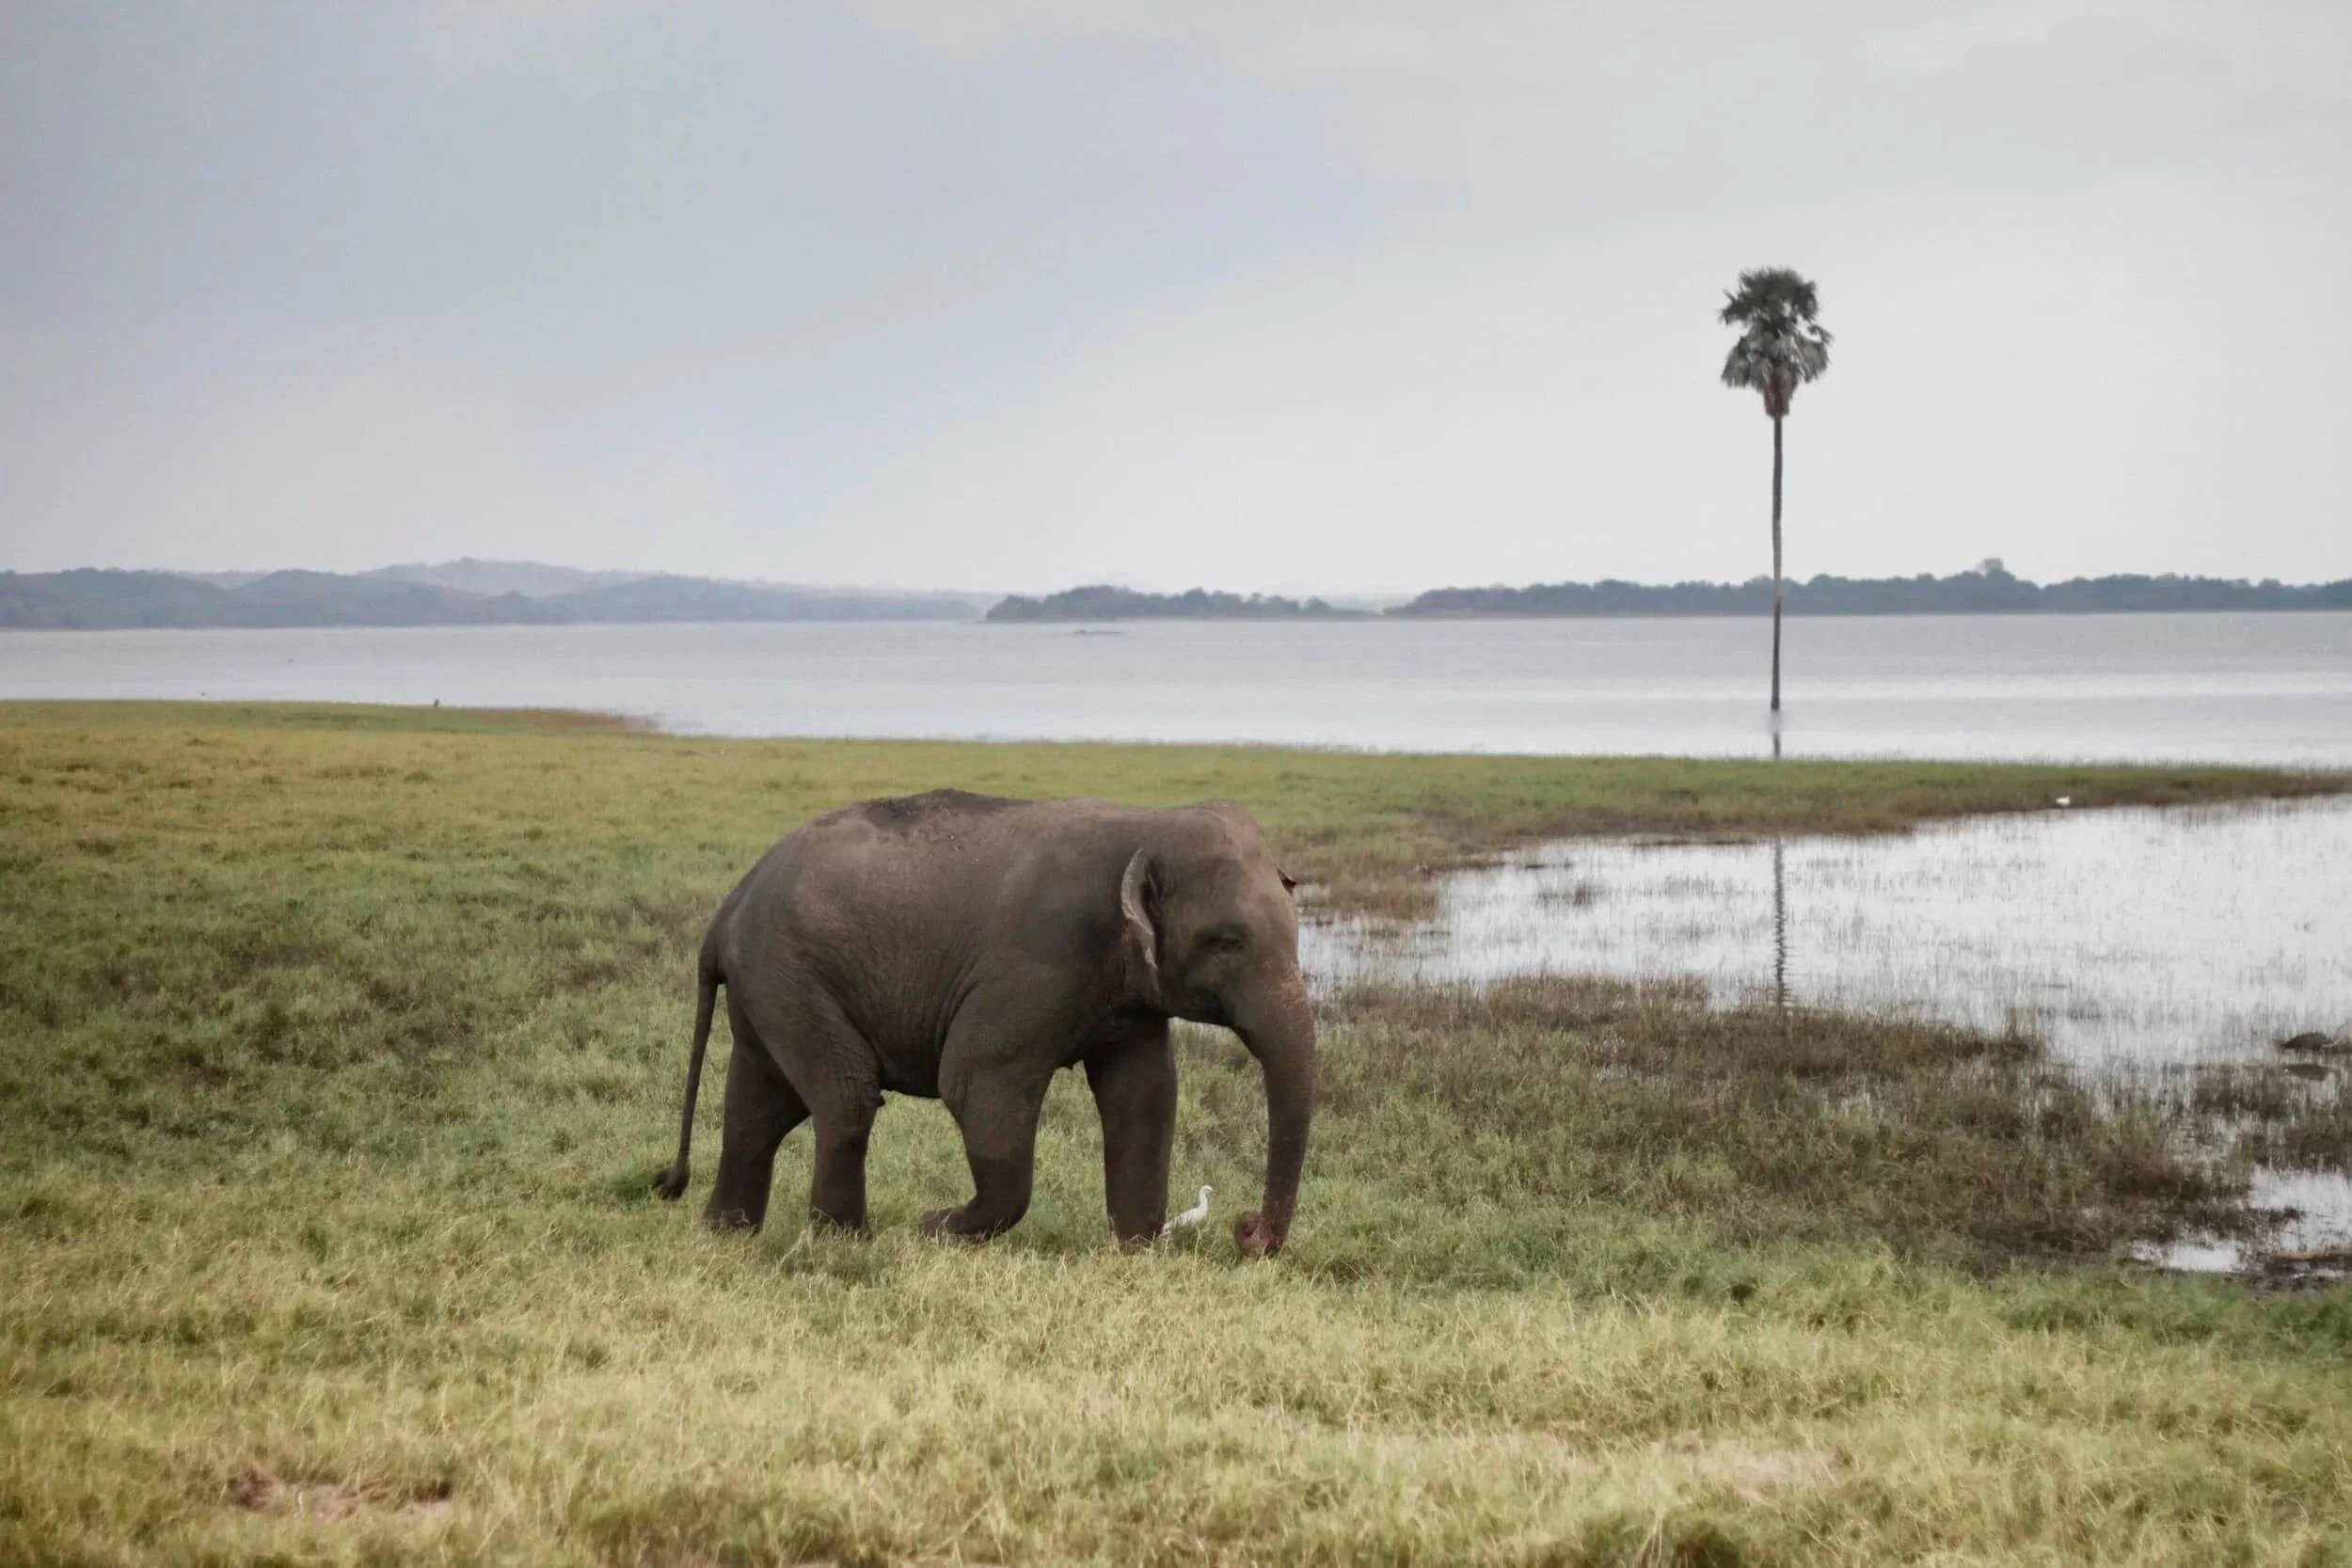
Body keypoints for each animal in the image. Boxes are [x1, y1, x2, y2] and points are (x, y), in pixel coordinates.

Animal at [652, 790, 1315, 1256]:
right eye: (1227, 942)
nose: (1247, 1229)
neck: (1147, 823)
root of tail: (726, 913)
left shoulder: (1129, 994)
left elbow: (1145, 1094)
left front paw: (1137, 1251)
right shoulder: (1038, 959)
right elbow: (976, 1083)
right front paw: (932, 1229)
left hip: (769, 988)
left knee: (758, 1107)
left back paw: (727, 1235)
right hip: (788, 973)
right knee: (845, 1098)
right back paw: (848, 1245)